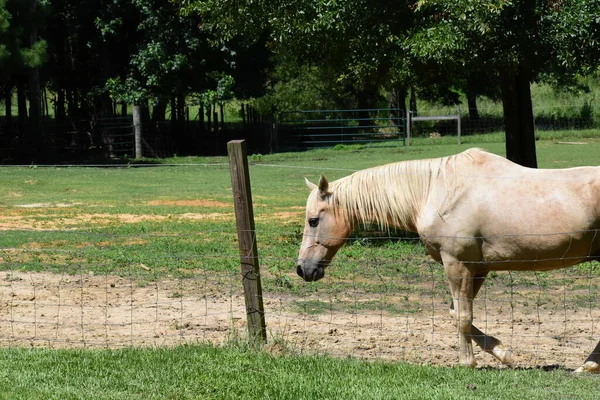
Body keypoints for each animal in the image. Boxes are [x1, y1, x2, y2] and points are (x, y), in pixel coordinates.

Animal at [296, 148, 600, 372]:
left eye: (313, 220)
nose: (302, 269)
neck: (437, 191)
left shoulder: (457, 264)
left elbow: (463, 316)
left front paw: (467, 362)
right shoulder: (477, 268)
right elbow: (455, 313)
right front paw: (504, 353)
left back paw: (588, 365)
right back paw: (587, 365)